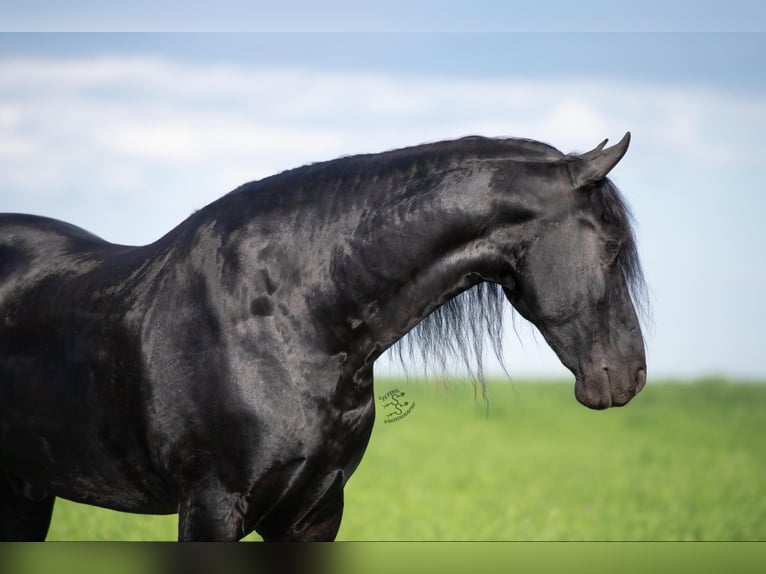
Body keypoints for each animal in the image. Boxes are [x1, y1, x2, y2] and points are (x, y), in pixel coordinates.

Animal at [0, 133, 646, 541]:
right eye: (612, 245)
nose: (631, 376)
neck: (289, 320)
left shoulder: (314, 511)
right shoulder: (210, 507)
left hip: (27, 492)